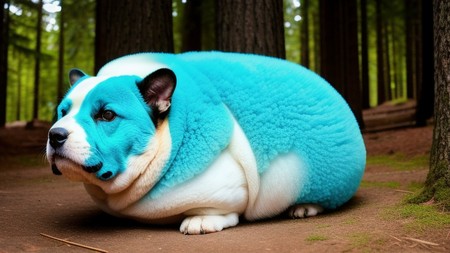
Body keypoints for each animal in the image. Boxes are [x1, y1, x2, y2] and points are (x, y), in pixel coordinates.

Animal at [47, 52, 368, 235]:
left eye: (107, 115)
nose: (55, 134)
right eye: (62, 112)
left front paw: (201, 220)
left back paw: (305, 207)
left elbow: (219, 209)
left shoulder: (229, 189)